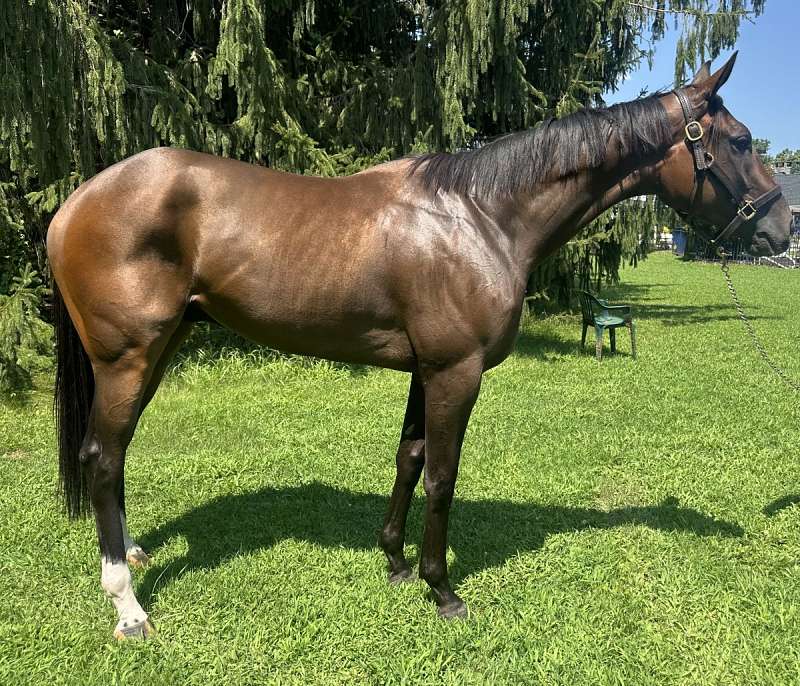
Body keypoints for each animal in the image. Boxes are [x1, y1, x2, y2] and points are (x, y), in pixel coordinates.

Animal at [47, 53, 790, 639]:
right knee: (102, 458)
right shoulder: (455, 372)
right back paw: (128, 607)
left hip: (158, 351)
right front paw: (442, 588)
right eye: (740, 139)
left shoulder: (421, 370)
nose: (780, 227)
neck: (482, 215)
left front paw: (396, 562)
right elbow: (442, 474)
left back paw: (134, 556)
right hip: (128, 359)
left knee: (114, 457)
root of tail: (74, 204)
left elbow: (407, 459)